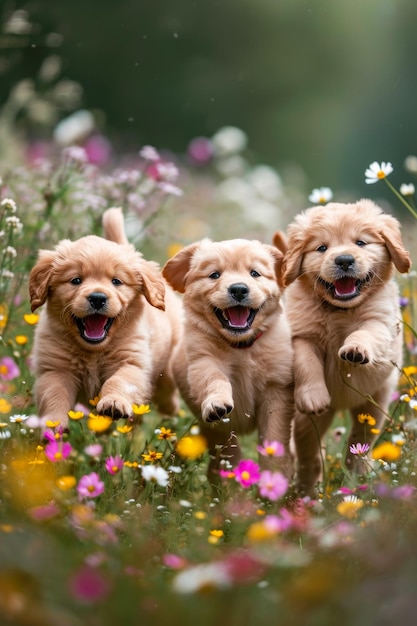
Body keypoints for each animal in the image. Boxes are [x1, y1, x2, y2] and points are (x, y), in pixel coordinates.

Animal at [27, 207, 180, 426]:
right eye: (76, 280)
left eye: (116, 281)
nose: (97, 298)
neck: (93, 350)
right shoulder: (55, 369)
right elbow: (54, 395)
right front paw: (54, 424)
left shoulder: (131, 361)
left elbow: (119, 381)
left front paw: (113, 403)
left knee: (167, 388)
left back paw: (171, 410)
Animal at [161, 236, 294, 480]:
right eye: (214, 275)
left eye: (254, 273)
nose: (239, 289)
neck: (242, 346)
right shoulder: (202, 360)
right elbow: (215, 379)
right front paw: (217, 403)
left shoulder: (277, 388)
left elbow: (274, 436)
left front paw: (275, 472)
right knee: (226, 447)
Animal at [274, 197, 412, 494]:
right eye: (322, 247)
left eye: (360, 243)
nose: (345, 260)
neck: (340, 310)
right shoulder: (299, 334)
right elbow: (306, 360)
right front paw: (314, 395)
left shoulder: (380, 321)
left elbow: (366, 334)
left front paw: (355, 350)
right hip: (306, 421)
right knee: (308, 451)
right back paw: (306, 486)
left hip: (374, 406)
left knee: (359, 443)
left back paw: (358, 476)